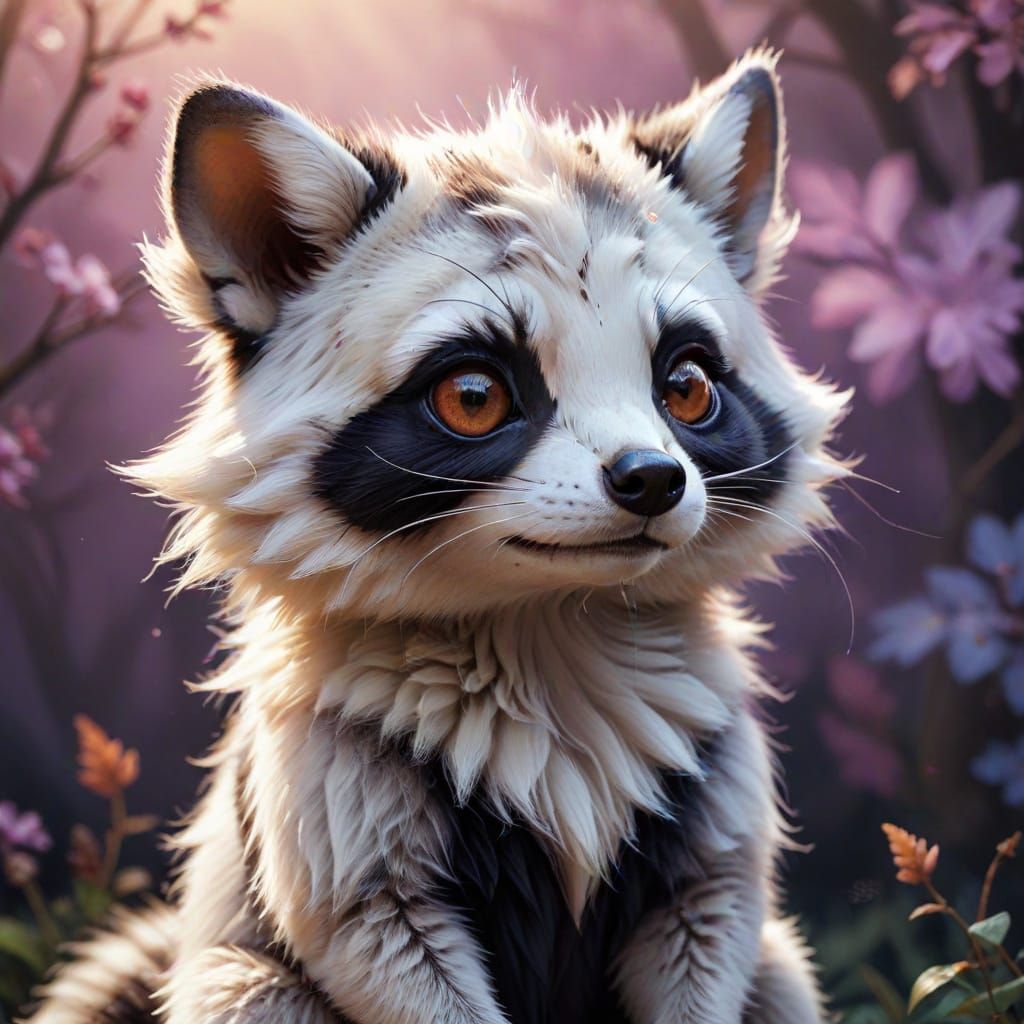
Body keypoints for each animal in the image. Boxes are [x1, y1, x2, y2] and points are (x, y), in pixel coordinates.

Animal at [24, 49, 848, 1024]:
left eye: (685, 386)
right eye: (475, 396)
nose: (652, 478)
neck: (548, 629)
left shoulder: (706, 863)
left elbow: (705, 947)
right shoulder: (351, 847)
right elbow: (393, 957)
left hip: (780, 965)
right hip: (244, 979)